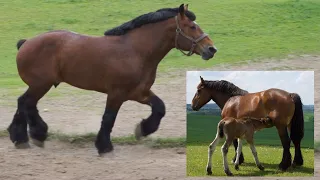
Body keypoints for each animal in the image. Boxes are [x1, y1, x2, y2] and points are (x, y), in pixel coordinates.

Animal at [7, 3, 218, 156]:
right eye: (192, 26)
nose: (211, 49)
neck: (135, 51)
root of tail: (26, 43)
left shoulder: (139, 93)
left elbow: (159, 108)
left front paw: (143, 130)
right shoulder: (117, 93)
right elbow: (109, 118)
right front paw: (104, 147)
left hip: (40, 85)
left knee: (23, 103)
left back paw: (22, 137)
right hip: (41, 84)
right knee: (27, 103)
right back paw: (33, 135)